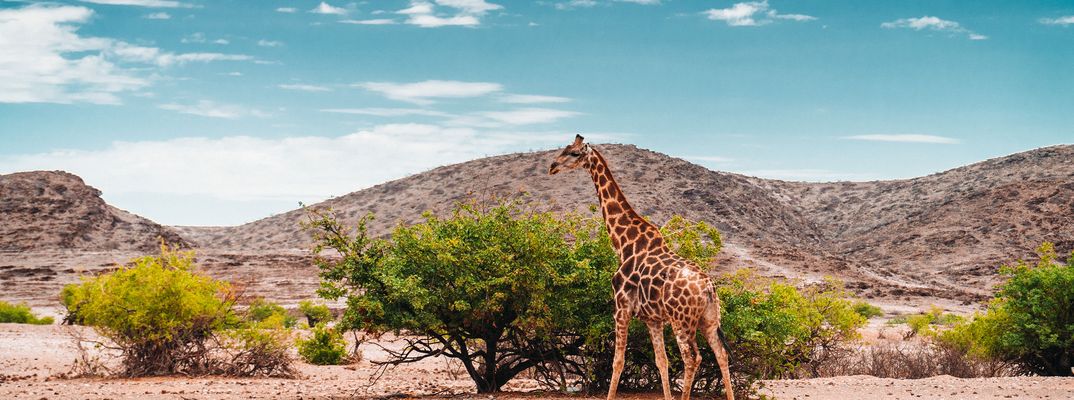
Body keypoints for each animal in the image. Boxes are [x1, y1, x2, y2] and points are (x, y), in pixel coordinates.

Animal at [549, 135, 734, 400]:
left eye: (574, 153)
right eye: (564, 148)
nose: (552, 167)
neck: (623, 243)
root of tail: (709, 287)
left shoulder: (621, 308)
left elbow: (618, 361)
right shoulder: (652, 319)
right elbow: (661, 361)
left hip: (681, 320)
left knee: (692, 358)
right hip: (709, 320)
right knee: (721, 354)